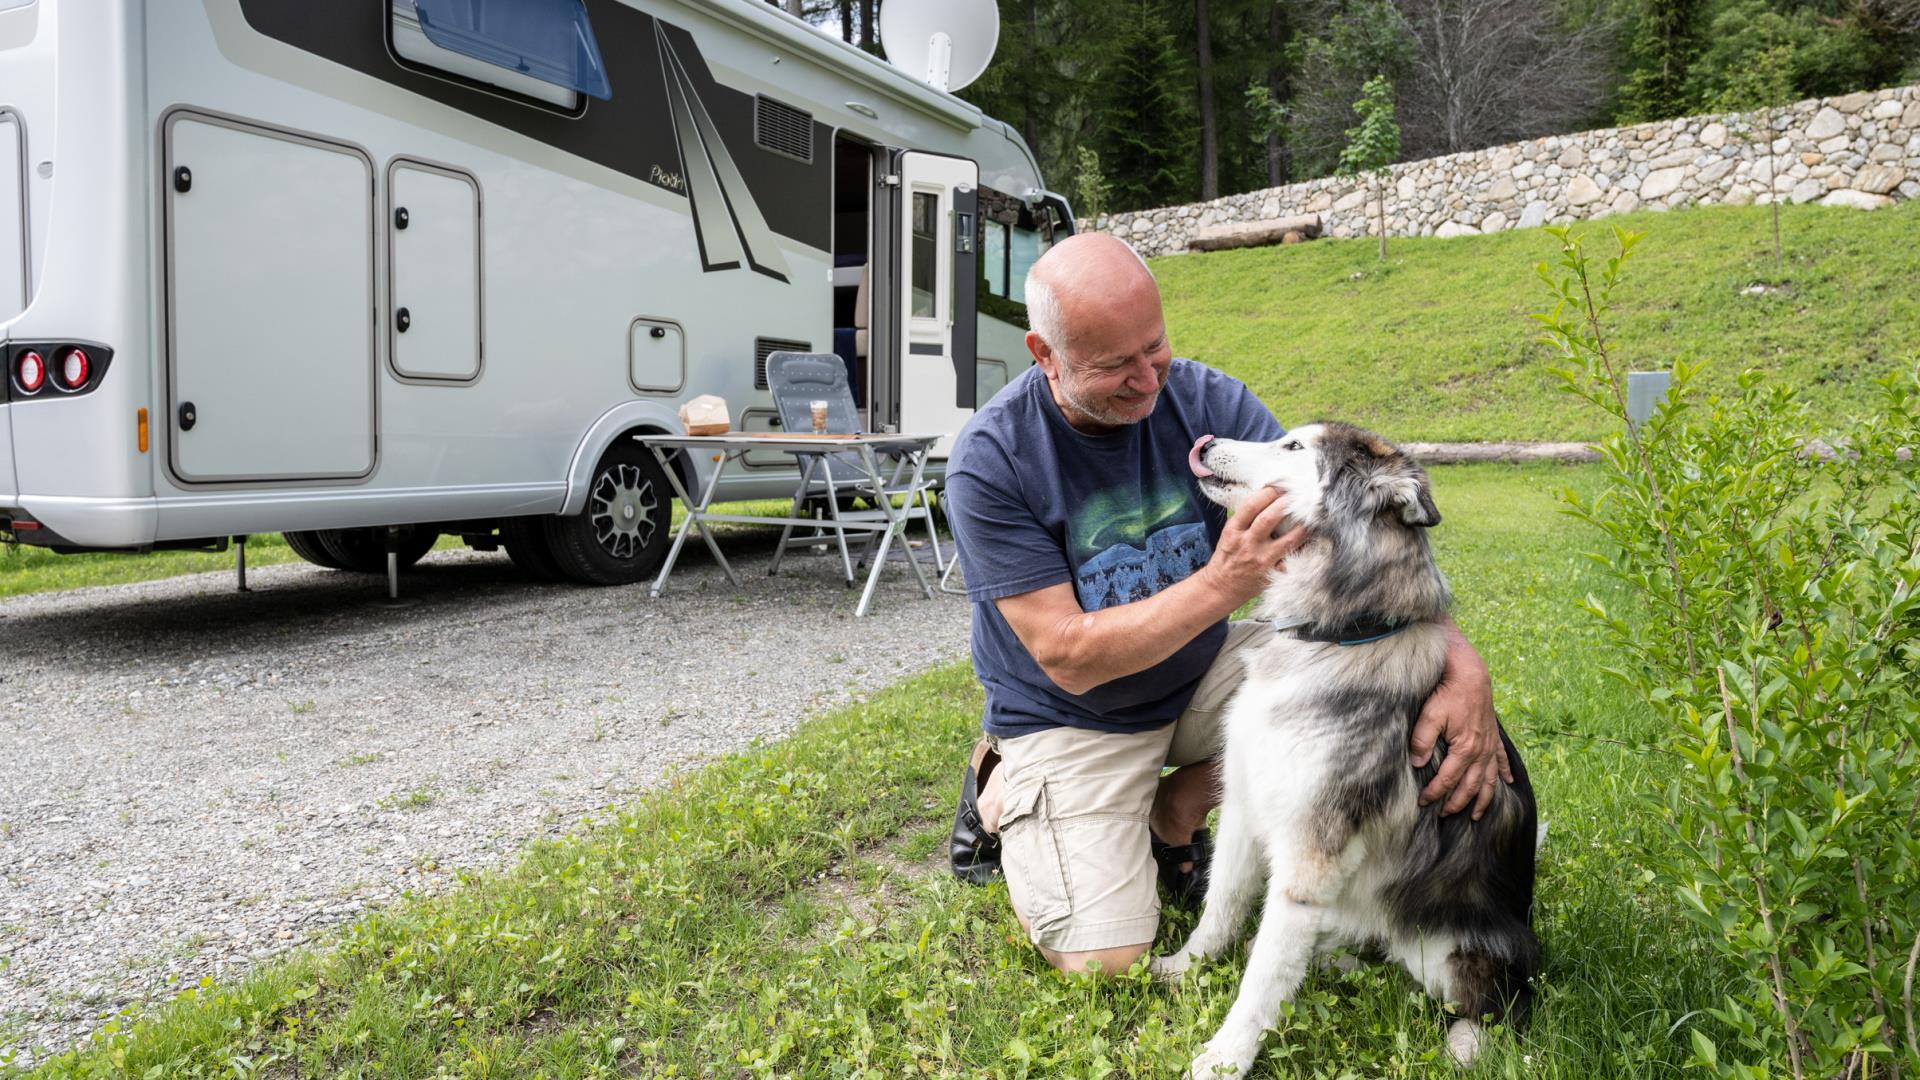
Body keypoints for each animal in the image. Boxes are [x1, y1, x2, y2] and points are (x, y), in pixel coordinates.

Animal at [1144, 424, 1536, 1068]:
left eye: (1294, 448)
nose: (1202, 442)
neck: (1336, 637)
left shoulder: (1309, 854)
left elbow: (1264, 975)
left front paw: (1226, 1058)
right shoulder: (1245, 808)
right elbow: (1221, 908)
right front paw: (1183, 968)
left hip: (1452, 952)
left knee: (1500, 1002)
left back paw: (1464, 1043)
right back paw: (1336, 963)